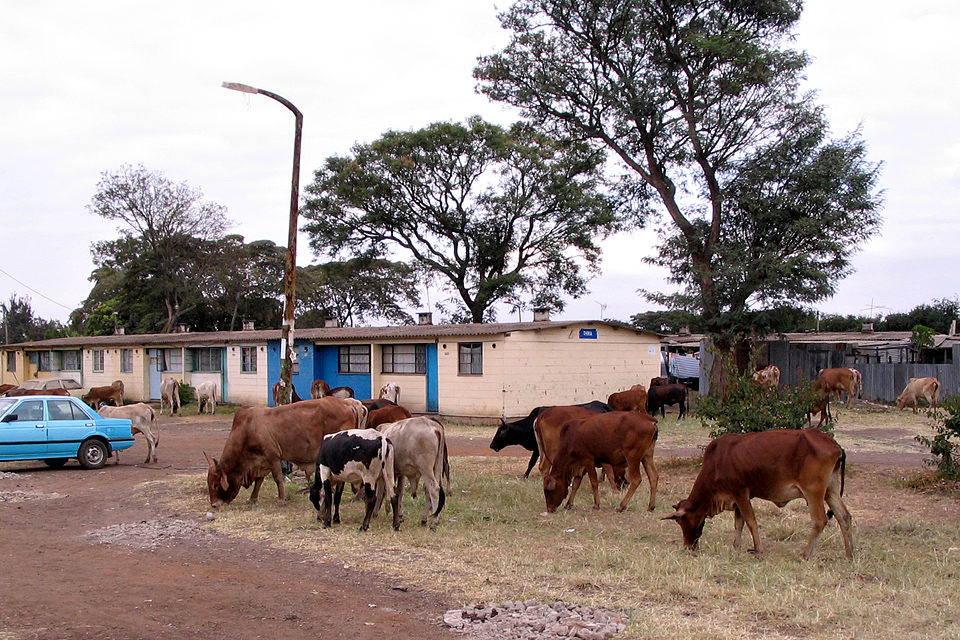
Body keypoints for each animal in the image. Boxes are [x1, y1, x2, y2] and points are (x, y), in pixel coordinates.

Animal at [203, 398, 356, 508]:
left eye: (215, 485)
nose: (214, 504)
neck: (247, 429)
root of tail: (347, 403)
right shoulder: (262, 462)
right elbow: (259, 481)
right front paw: (252, 498)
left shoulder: (273, 457)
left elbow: (278, 479)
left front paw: (281, 499)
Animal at [668, 430, 856, 560]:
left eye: (680, 521)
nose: (688, 546)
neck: (716, 463)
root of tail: (833, 443)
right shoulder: (742, 497)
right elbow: (739, 523)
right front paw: (736, 546)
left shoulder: (740, 492)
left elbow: (751, 522)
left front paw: (758, 551)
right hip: (830, 490)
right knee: (844, 517)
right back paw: (850, 555)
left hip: (813, 492)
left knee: (819, 520)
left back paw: (805, 555)